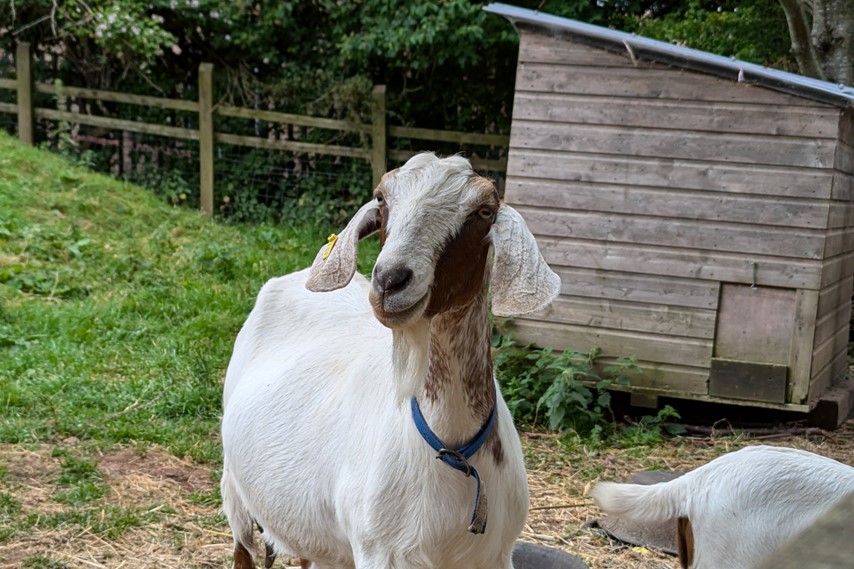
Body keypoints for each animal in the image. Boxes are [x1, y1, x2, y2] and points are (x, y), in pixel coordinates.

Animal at [224, 152, 564, 568]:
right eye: (382, 199)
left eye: (484, 211)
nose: (389, 280)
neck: (452, 448)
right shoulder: (381, 551)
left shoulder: (493, 555)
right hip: (234, 487)